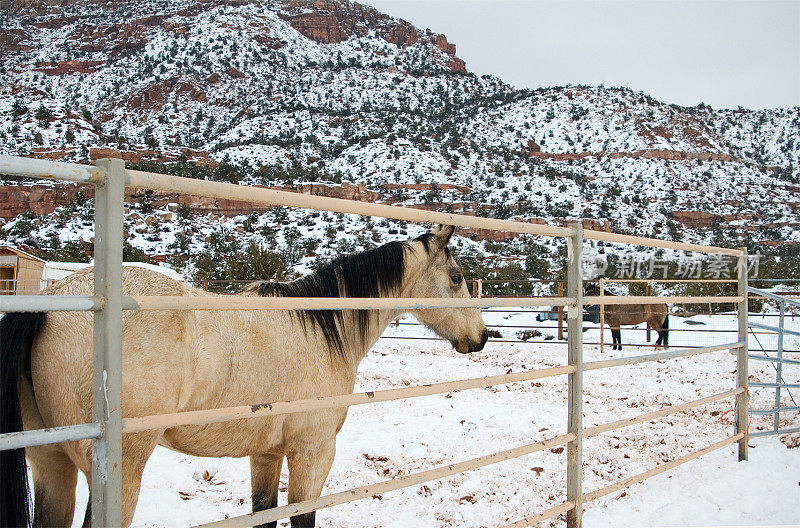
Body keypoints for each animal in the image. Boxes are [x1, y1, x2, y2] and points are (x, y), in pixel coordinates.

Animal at [0, 226, 488, 528]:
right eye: (456, 276)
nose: (480, 337)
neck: (321, 327)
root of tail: (53, 302)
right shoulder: (312, 453)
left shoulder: (266, 454)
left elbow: (263, 513)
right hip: (118, 474)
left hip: (51, 464)